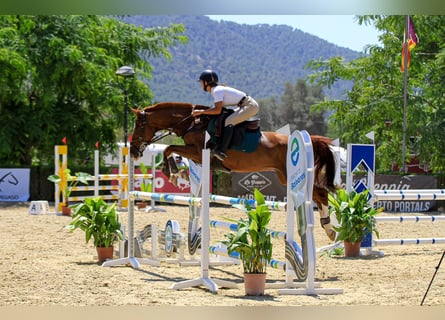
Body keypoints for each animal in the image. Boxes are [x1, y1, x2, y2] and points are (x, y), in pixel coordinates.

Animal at [128, 102, 336, 240]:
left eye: (138, 126)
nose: (133, 152)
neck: (192, 123)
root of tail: (306, 139)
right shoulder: (196, 156)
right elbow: (169, 149)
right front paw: (177, 172)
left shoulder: (198, 152)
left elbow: (169, 148)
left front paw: (171, 172)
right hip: (283, 176)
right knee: (318, 195)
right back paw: (328, 227)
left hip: (289, 174)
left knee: (320, 193)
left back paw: (329, 229)